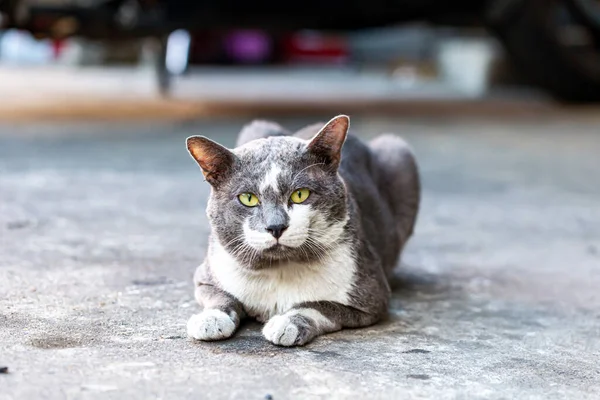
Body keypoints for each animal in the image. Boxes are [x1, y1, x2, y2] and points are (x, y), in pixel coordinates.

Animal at [185, 115, 420, 346]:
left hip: (399, 153)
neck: (279, 269)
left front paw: (286, 323)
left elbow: (320, 305)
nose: (276, 226)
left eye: (300, 195)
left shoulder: (372, 297)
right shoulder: (206, 275)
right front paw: (211, 319)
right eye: (248, 198)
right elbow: (220, 296)